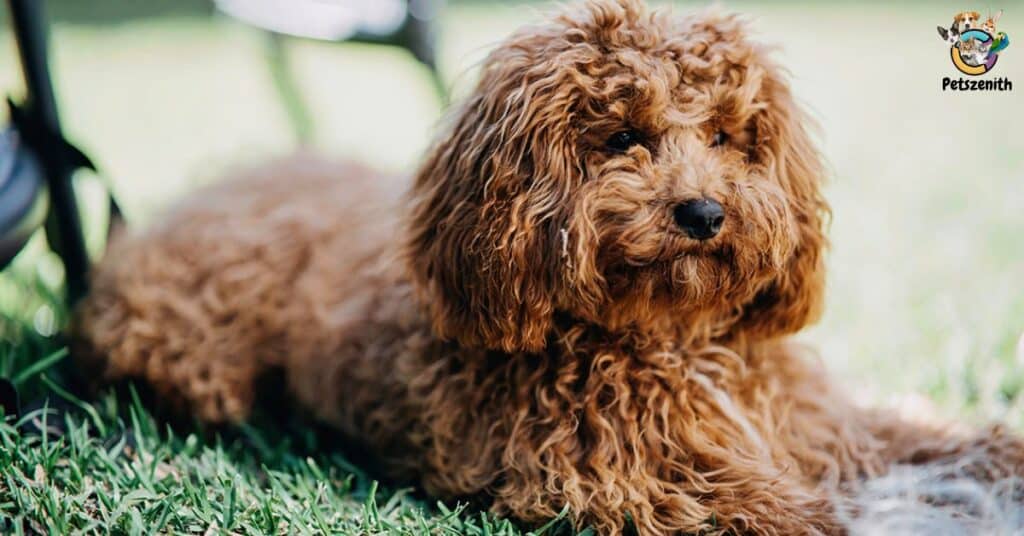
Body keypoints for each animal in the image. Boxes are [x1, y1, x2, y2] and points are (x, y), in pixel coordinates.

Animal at [72, 2, 1024, 532]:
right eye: (623, 137)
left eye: (727, 136)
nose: (703, 214)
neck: (674, 340)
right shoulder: (619, 475)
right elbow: (788, 510)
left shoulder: (820, 422)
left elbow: (918, 431)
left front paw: (991, 454)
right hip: (193, 355)